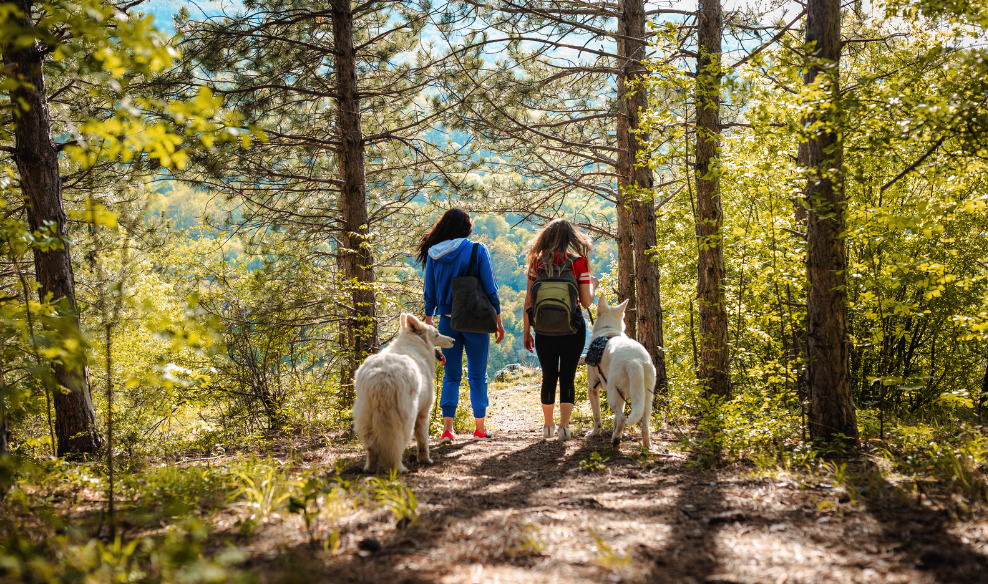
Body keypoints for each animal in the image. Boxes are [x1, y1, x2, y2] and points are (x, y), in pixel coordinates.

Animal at [354, 312, 454, 472]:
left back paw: (370, 469)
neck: (415, 345)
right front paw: (425, 460)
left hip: (366, 418)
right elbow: (423, 442)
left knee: (371, 448)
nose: (454, 340)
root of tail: (381, 377)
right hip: (405, 420)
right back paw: (399, 469)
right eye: (437, 334)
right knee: (395, 446)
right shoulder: (423, 414)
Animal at [588, 294, 656, 450]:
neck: (608, 328)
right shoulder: (623, 397)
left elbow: (597, 416)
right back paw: (645, 446)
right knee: (644, 424)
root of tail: (635, 360)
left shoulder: (592, 388)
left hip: (612, 395)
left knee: (622, 418)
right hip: (647, 398)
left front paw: (595, 432)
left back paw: (616, 440)